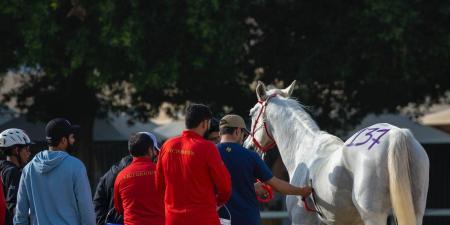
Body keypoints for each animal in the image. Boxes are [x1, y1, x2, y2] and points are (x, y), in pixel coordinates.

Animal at [244, 81, 430, 225]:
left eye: (252, 113)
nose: (248, 146)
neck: (304, 149)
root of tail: (397, 134)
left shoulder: (301, 220)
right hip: (416, 211)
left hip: (374, 216)